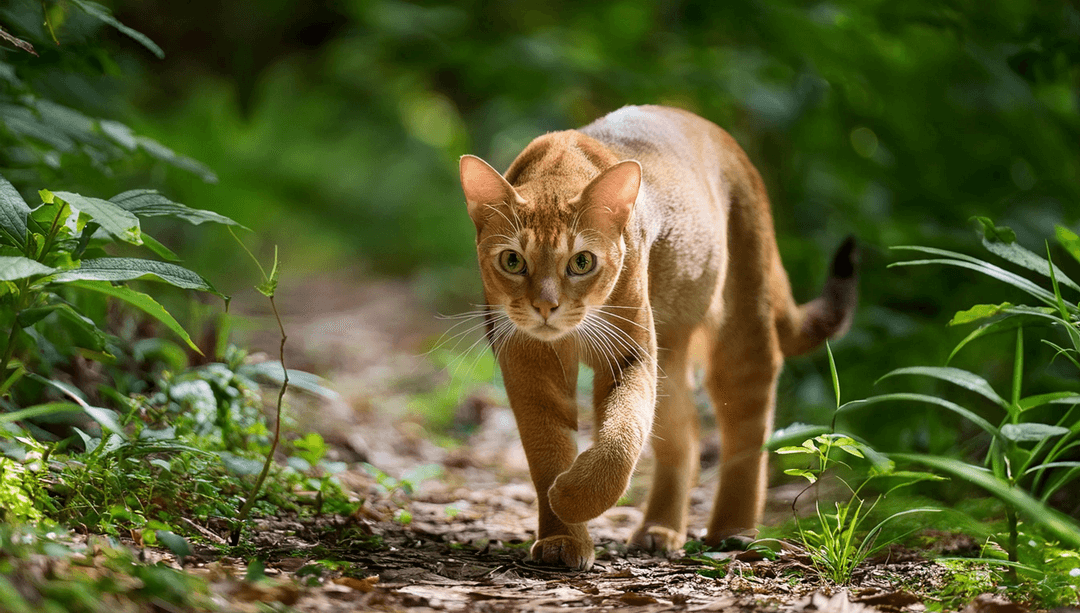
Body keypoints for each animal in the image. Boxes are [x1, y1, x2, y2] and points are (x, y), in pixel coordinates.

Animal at [457, 104, 859, 569]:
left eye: (581, 262)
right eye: (512, 261)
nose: (545, 306)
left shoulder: (628, 353)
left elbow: (622, 436)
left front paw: (572, 497)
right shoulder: (528, 358)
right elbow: (547, 447)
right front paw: (562, 538)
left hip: (742, 334)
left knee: (747, 435)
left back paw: (732, 533)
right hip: (671, 355)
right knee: (685, 437)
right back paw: (659, 530)